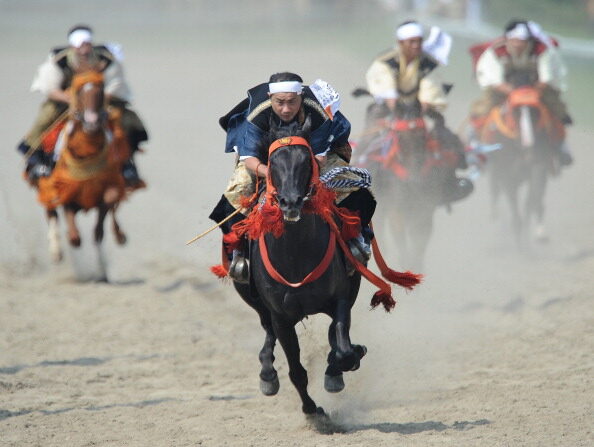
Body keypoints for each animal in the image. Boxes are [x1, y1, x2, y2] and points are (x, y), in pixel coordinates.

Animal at [37, 71, 130, 262]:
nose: (91, 121)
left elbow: (102, 219)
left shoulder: (110, 185)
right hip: (45, 185)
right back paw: (56, 251)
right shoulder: (66, 190)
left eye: (101, 90)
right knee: (51, 213)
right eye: (78, 92)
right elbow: (74, 235)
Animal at [231, 118, 366, 416]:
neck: (296, 257)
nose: (290, 202)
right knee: (266, 329)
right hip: (252, 297)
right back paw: (268, 375)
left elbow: (343, 347)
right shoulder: (281, 316)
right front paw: (312, 409)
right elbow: (296, 370)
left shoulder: (340, 297)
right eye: (273, 162)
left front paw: (346, 360)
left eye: (306, 160)